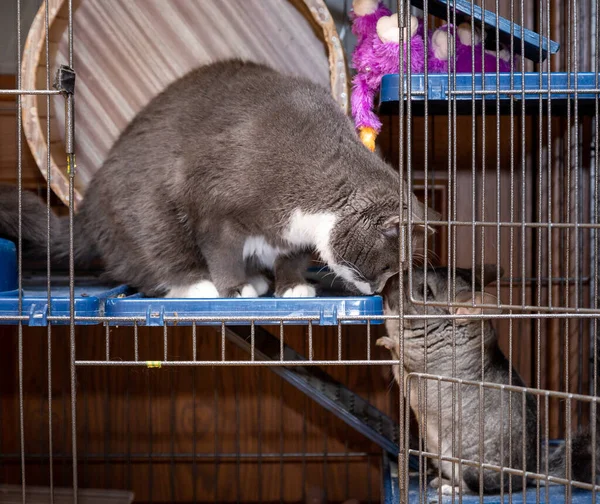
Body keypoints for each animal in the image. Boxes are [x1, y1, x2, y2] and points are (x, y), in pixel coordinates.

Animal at [0, 62, 432, 300]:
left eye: (394, 275)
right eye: (387, 267)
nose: (377, 290)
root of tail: (86, 210)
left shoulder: (290, 236)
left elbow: (291, 257)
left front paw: (292, 286)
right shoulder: (211, 203)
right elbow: (221, 250)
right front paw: (233, 287)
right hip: (145, 211)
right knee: (149, 264)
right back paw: (200, 283)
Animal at [378, 268, 596, 496]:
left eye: (426, 292)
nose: (389, 282)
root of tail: (531, 473)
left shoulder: (416, 370)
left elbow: (398, 358)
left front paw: (385, 341)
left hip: (472, 467)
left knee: (477, 488)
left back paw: (448, 488)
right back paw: (439, 481)